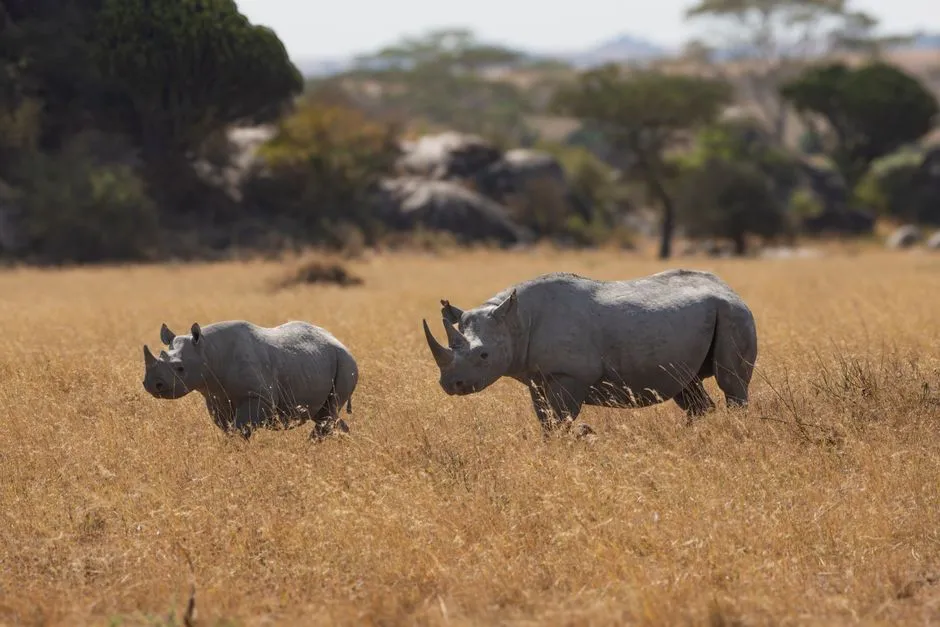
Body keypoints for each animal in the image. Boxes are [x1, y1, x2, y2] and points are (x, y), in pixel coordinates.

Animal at [141, 320, 359, 441]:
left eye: (180, 368)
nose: (152, 385)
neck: (208, 351)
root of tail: (340, 343)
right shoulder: (216, 397)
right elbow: (229, 429)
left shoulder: (258, 396)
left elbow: (240, 428)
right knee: (325, 415)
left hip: (345, 362)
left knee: (328, 413)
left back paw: (311, 447)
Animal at [422, 270, 757, 436]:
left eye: (484, 356)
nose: (451, 385)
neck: (515, 320)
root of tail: (730, 289)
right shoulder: (537, 377)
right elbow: (545, 420)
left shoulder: (570, 375)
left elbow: (561, 418)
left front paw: (576, 437)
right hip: (706, 318)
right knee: (686, 386)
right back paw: (690, 436)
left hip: (734, 314)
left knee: (732, 383)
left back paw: (734, 430)